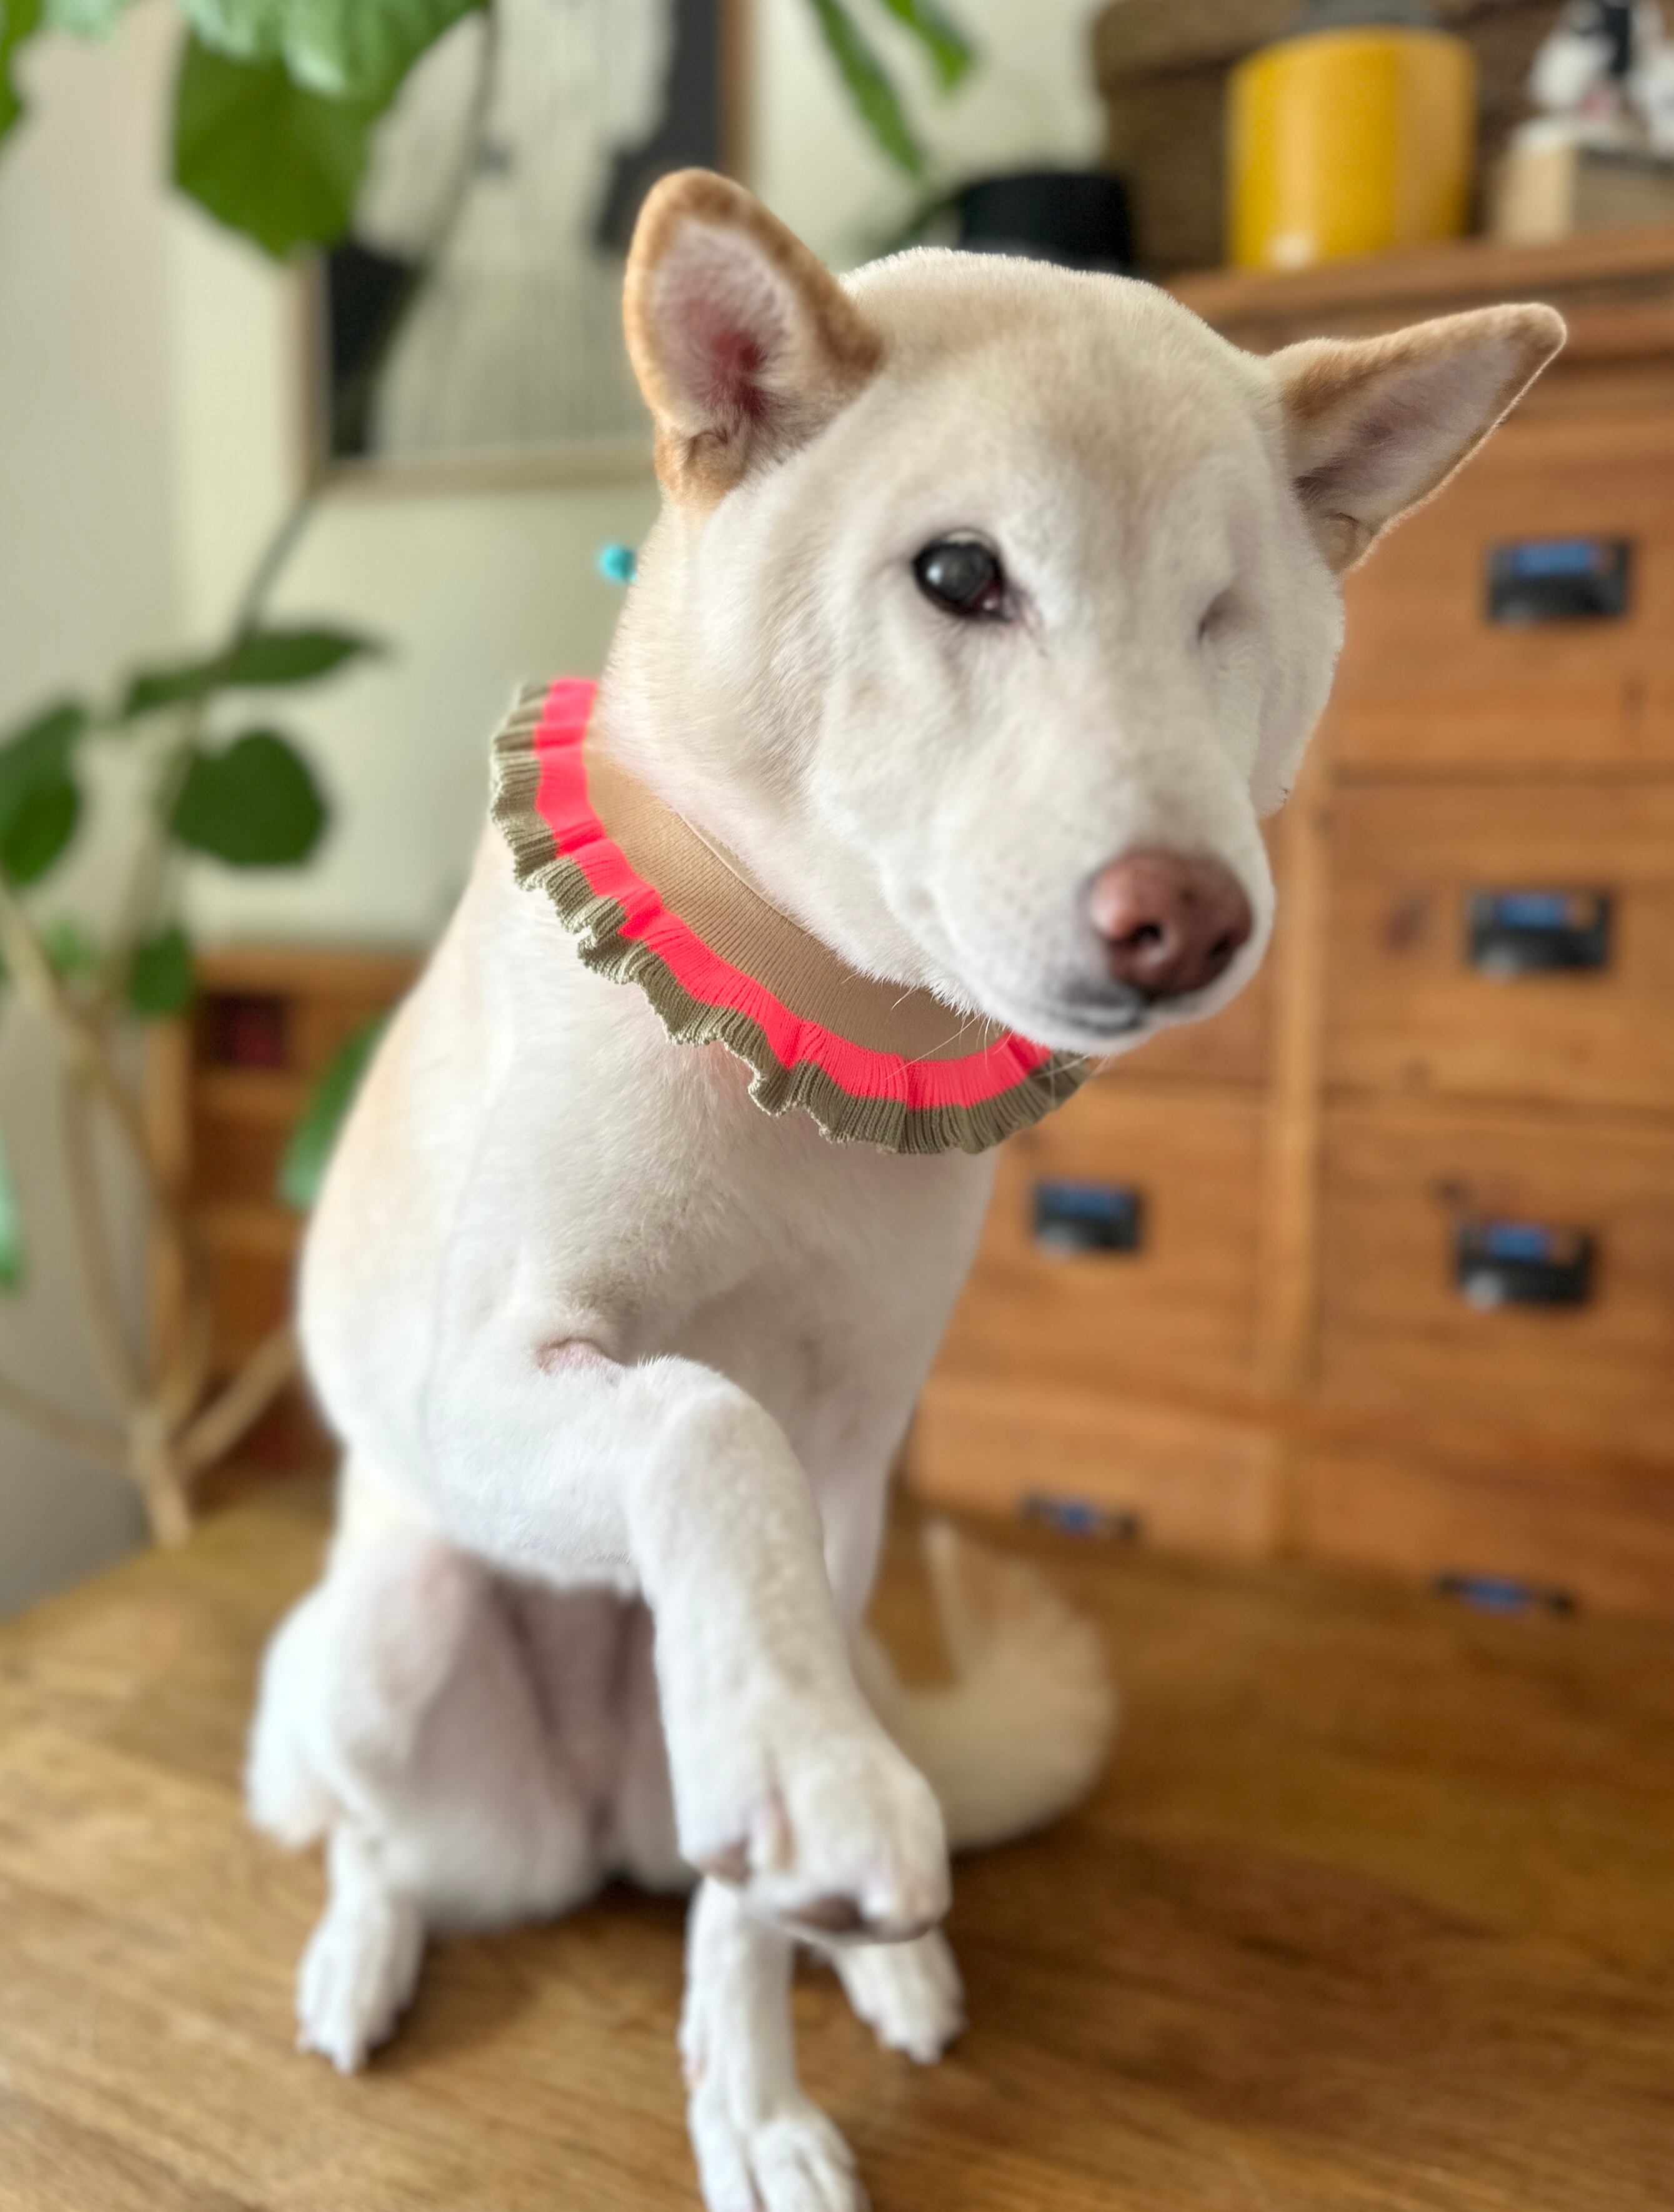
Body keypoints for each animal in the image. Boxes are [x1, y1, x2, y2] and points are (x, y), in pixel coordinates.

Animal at [248, 169, 1562, 2212]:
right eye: (960, 577)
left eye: (1223, 620)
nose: (1192, 920)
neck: (805, 1020)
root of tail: (596, 1816)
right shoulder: (489, 1379)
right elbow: (698, 1419)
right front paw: (800, 1797)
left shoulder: (852, 1461)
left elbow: (744, 1910)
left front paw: (756, 2100)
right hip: (386, 1648)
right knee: (378, 1843)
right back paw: (362, 1947)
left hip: (813, 1651)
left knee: (735, 1861)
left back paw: (885, 1955)